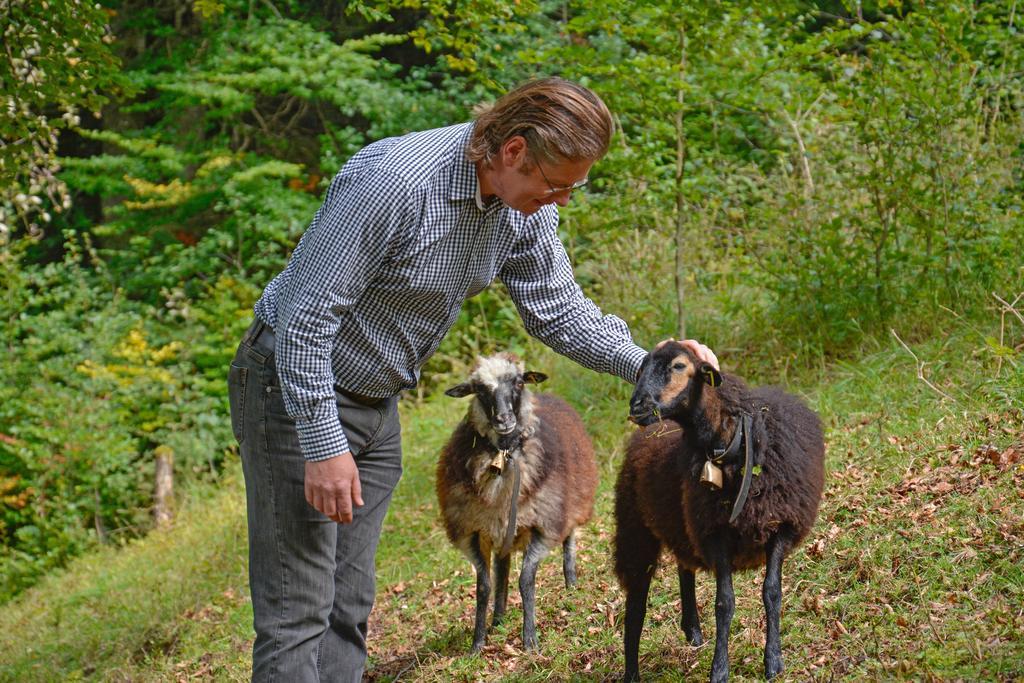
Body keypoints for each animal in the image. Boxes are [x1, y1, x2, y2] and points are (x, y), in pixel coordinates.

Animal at [434, 352, 598, 651]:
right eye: (479, 390)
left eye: (519, 382)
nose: (503, 419)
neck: (505, 453)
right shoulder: (472, 531)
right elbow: (484, 587)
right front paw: (477, 644)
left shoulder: (543, 526)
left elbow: (526, 580)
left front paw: (530, 640)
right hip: (502, 532)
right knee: (502, 569)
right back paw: (498, 618)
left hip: (570, 505)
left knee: (568, 539)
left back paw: (571, 583)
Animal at [614, 342, 823, 683]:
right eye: (641, 367)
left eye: (679, 366)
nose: (637, 406)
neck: (733, 440)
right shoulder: (715, 532)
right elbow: (725, 602)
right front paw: (720, 669)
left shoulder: (781, 524)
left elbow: (772, 592)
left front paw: (773, 661)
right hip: (637, 529)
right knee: (636, 607)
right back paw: (632, 672)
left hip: (679, 522)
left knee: (683, 568)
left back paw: (693, 630)